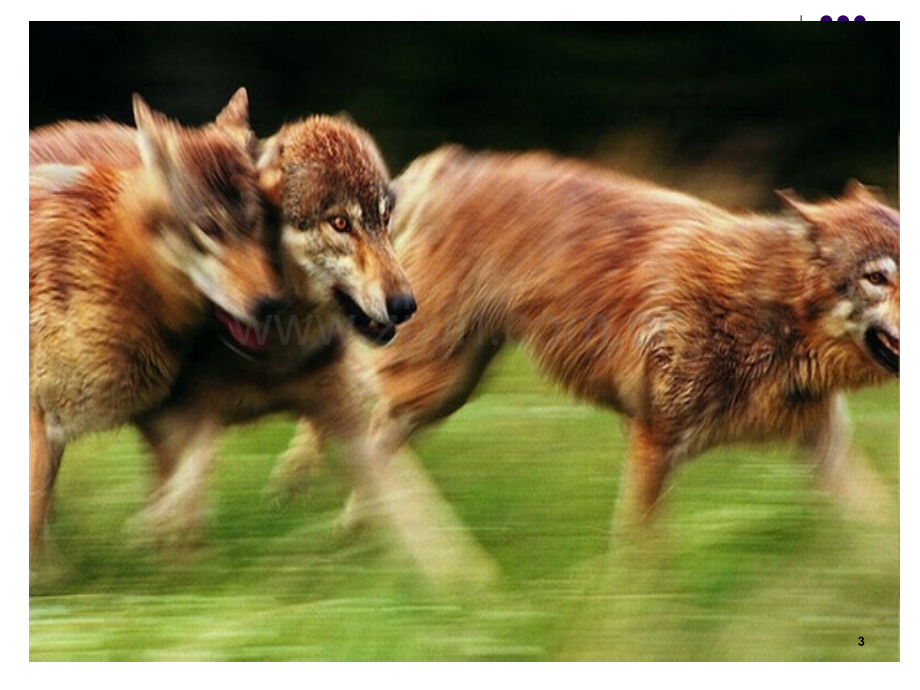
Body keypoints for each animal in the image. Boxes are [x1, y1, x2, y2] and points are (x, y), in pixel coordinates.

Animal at [278, 146, 900, 536]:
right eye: (879, 276)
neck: (769, 313)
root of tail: (453, 162)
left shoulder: (826, 449)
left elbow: (881, 536)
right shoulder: (653, 444)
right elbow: (638, 563)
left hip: (444, 392)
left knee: (373, 425)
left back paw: (354, 524)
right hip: (431, 379)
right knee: (353, 390)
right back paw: (302, 483)